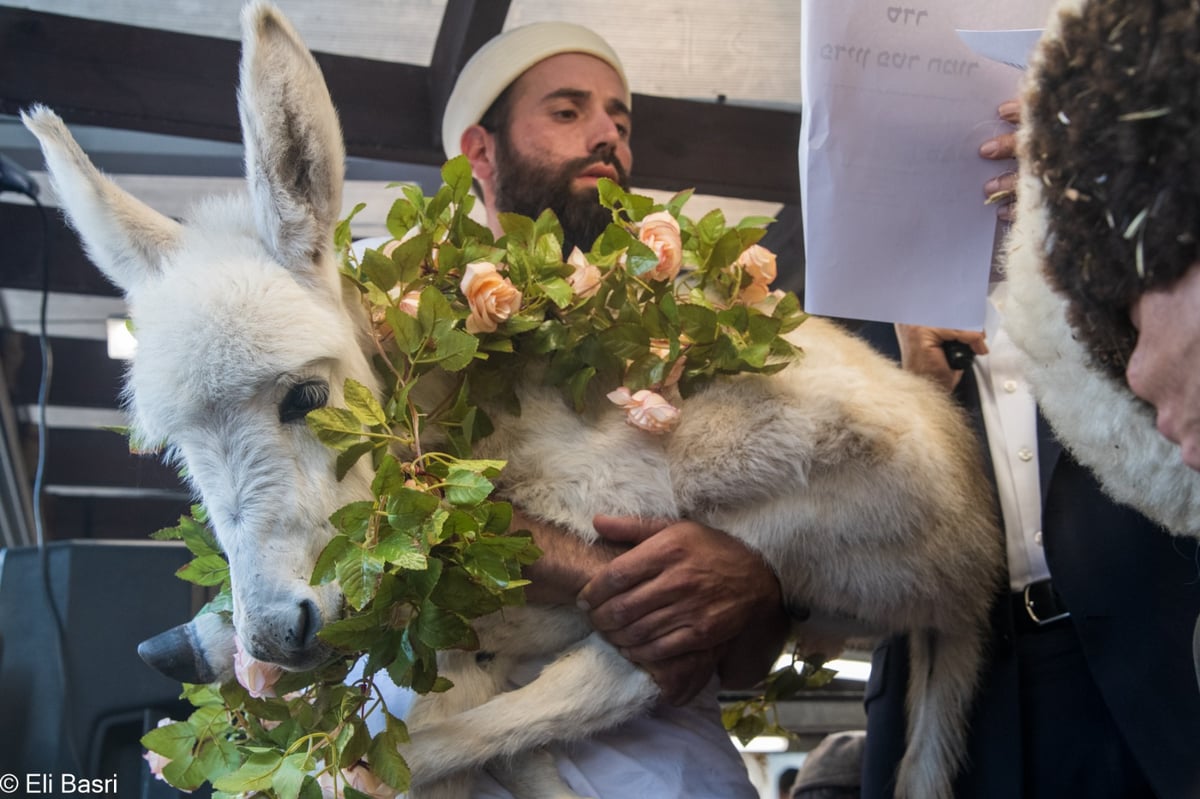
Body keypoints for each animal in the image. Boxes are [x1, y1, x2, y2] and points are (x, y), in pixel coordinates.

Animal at [25, 3, 1003, 791]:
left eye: (305, 394)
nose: (272, 637)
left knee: (584, 687)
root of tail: (974, 567)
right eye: (178, 447)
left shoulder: (649, 495)